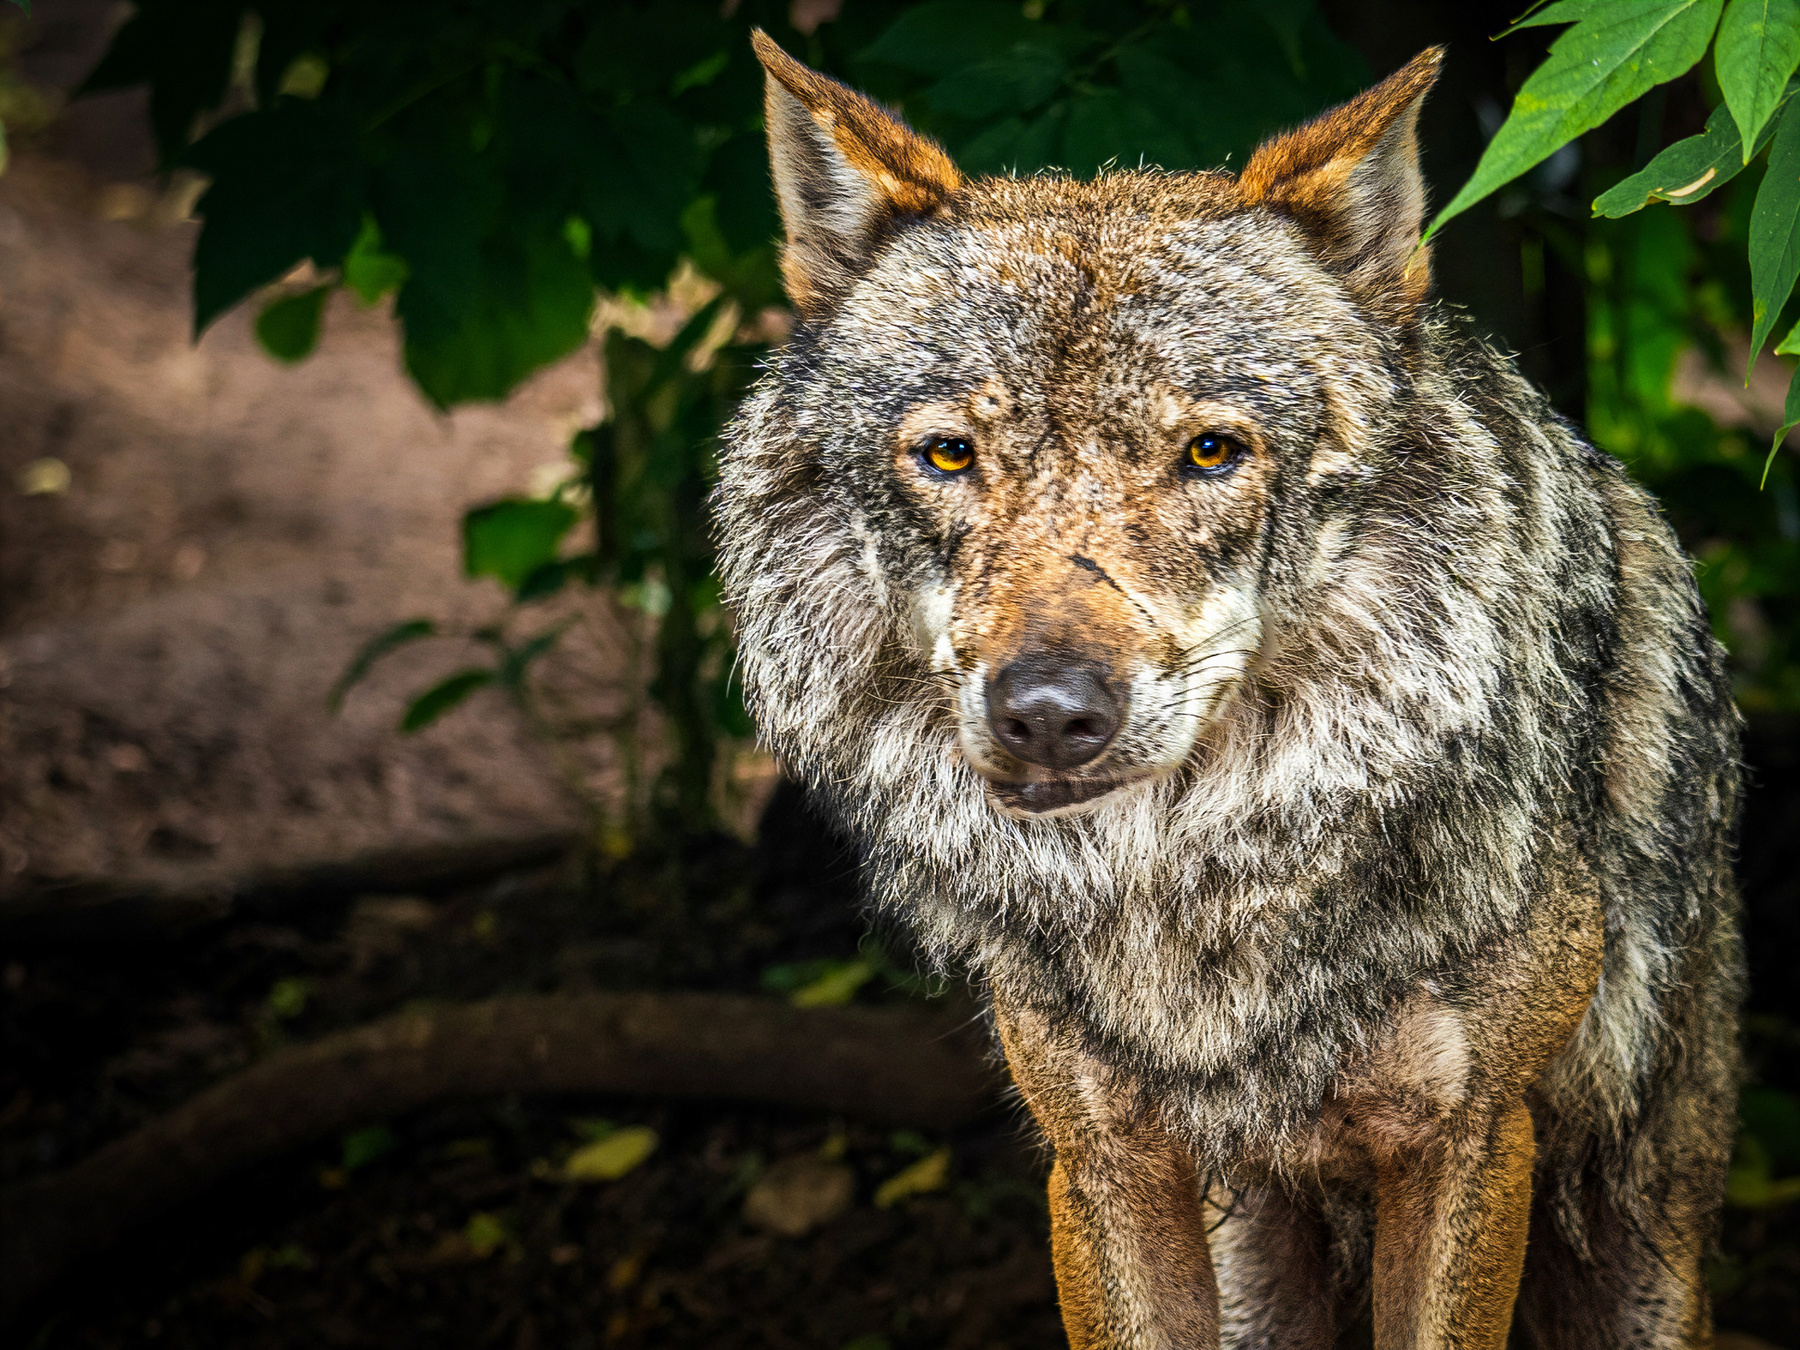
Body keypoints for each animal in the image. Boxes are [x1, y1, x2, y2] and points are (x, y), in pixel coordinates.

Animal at [717, 32, 1743, 1350]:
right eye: (949, 455)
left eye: (1211, 451)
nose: (1048, 711)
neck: (1185, 884)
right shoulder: (1103, 1158)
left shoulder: (1468, 1138)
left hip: (1635, 1249)